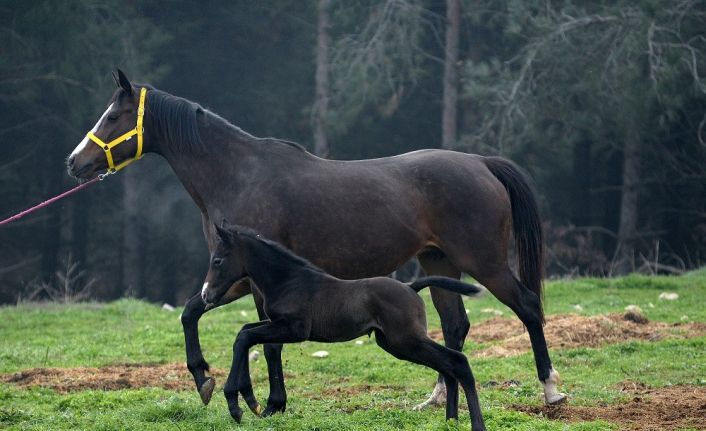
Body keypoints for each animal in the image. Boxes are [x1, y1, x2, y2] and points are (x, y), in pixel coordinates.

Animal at [205, 224, 484, 430]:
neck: (288, 280)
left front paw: (237, 404)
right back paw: (451, 421)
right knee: (447, 366)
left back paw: (475, 424)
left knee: (457, 361)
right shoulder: (277, 324)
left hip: (406, 340)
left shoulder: (295, 329)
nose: (207, 295)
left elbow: (245, 337)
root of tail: (411, 287)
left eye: (217, 260)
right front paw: (250, 401)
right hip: (395, 343)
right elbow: (244, 331)